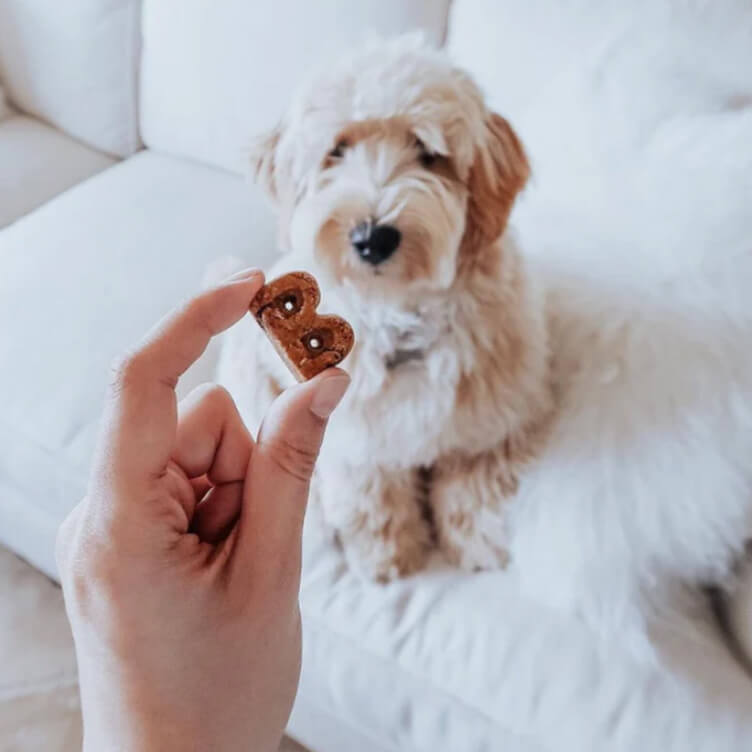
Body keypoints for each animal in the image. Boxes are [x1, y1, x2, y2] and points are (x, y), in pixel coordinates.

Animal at [217, 35, 552, 580]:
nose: (373, 238)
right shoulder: (359, 443)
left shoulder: (488, 424)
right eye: (336, 150)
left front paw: (475, 547)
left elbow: (473, 487)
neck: (400, 311)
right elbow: (373, 500)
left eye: (429, 153)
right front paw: (390, 556)